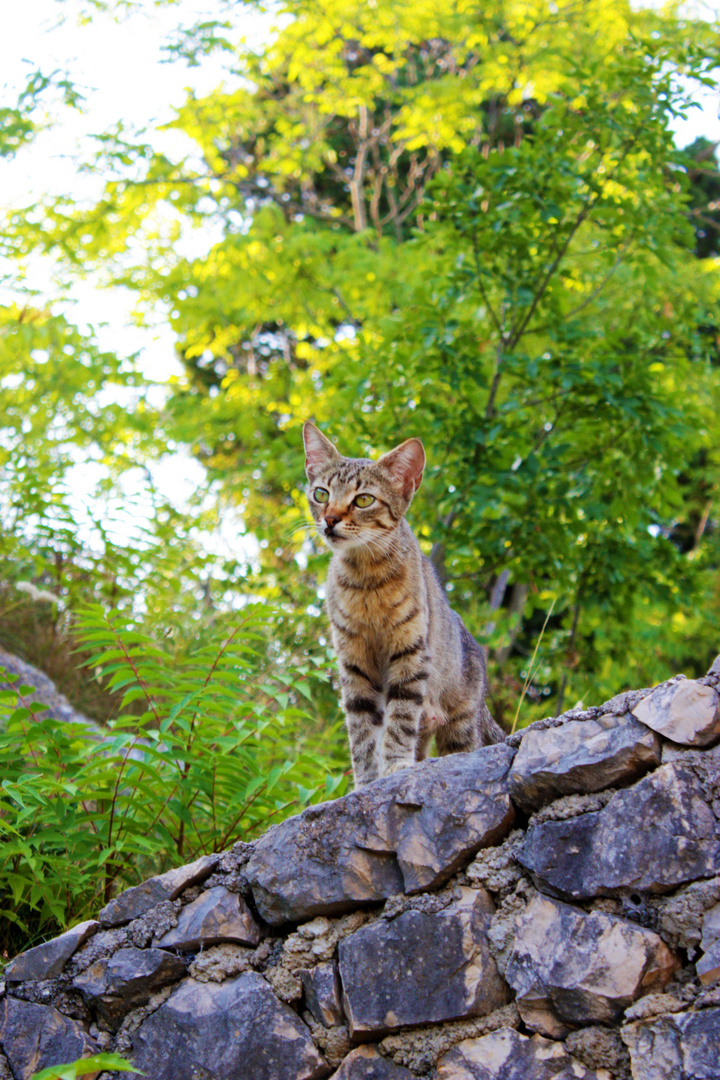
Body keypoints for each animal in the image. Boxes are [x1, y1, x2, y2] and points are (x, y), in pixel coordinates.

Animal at [302, 419, 505, 786]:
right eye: (321, 494)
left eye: (364, 500)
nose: (330, 520)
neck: (365, 581)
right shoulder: (354, 664)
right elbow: (362, 732)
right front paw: (367, 781)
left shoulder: (409, 653)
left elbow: (399, 721)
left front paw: (395, 766)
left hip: (461, 724)